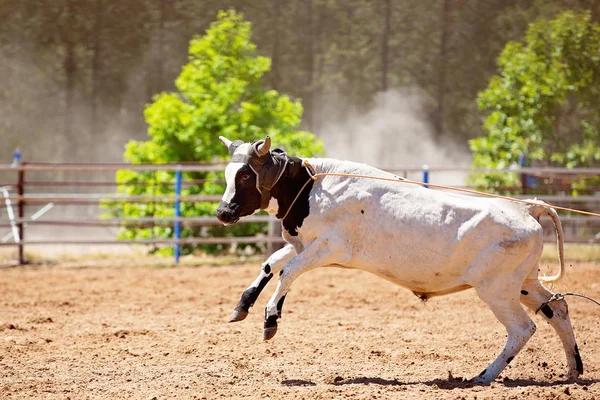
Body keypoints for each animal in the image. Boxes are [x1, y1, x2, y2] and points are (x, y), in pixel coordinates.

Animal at [214, 137, 580, 384]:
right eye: (228, 174)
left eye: (244, 176)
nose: (222, 212)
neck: (311, 188)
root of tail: (526, 208)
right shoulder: (303, 243)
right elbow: (271, 264)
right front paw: (242, 305)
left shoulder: (330, 248)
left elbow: (288, 271)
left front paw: (270, 320)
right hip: (524, 283)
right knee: (557, 308)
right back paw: (573, 369)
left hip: (497, 290)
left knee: (523, 328)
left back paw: (484, 376)